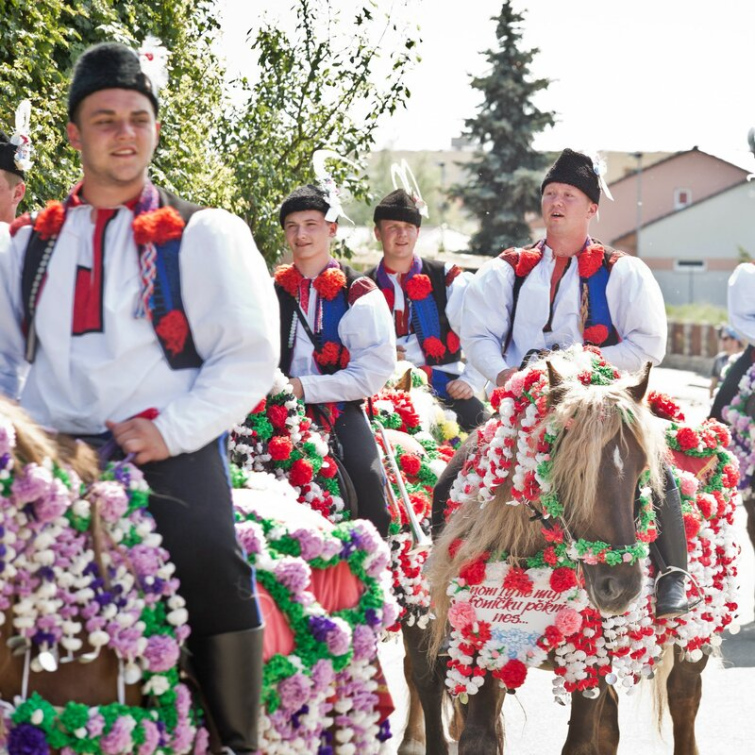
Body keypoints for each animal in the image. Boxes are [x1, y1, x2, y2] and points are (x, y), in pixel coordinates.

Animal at [408, 348, 740, 755]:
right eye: (569, 471)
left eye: (643, 469)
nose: (619, 586)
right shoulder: (484, 645)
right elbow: (479, 739)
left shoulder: (593, 661)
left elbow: (580, 742)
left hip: (696, 633)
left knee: (683, 698)